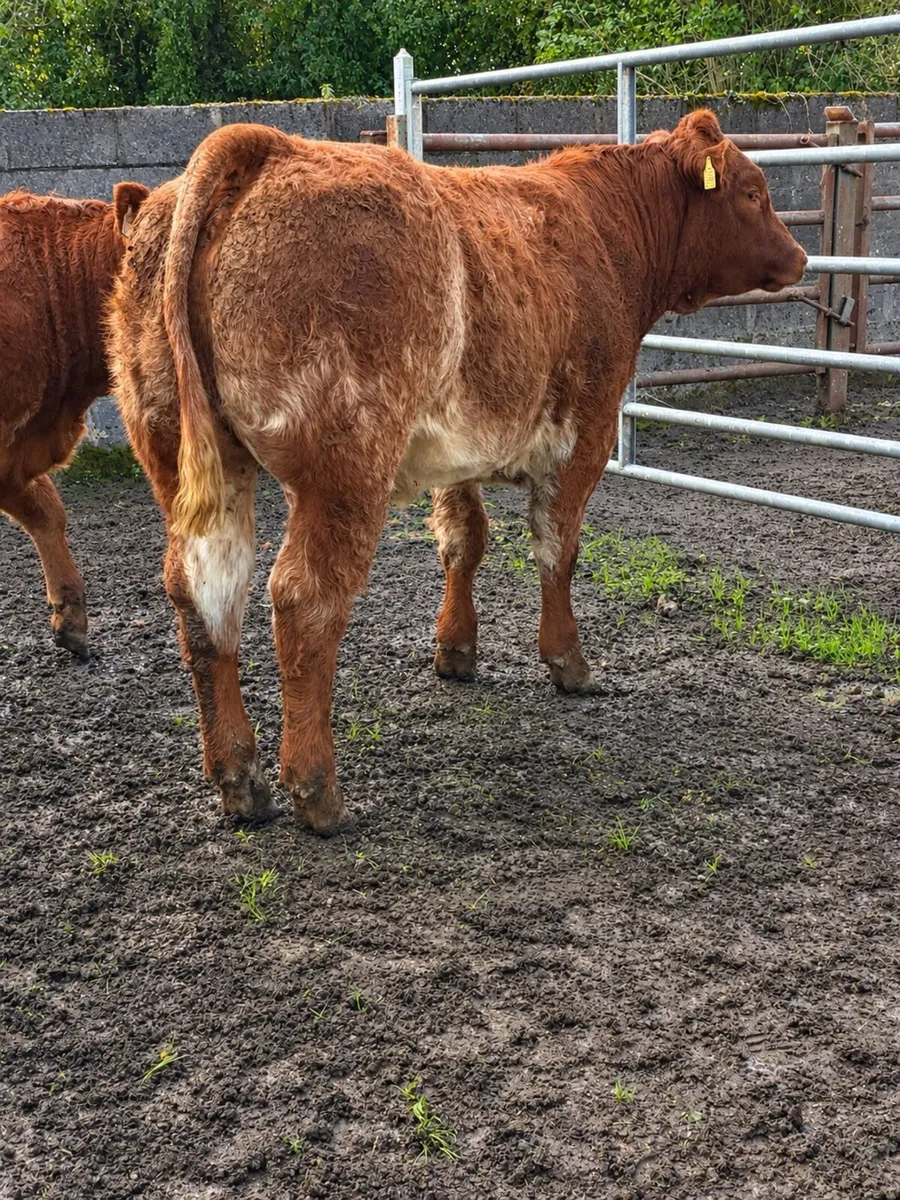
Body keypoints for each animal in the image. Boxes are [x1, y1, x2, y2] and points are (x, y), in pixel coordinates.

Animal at [107, 110, 806, 833]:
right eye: (752, 192)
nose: (801, 257)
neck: (606, 230)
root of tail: (265, 148)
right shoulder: (585, 434)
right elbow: (558, 550)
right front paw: (568, 662)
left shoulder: (456, 450)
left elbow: (464, 541)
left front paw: (456, 650)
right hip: (345, 469)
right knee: (304, 598)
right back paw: (317, 790)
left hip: (189, 464)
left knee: (202, 595)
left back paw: (239, 780)